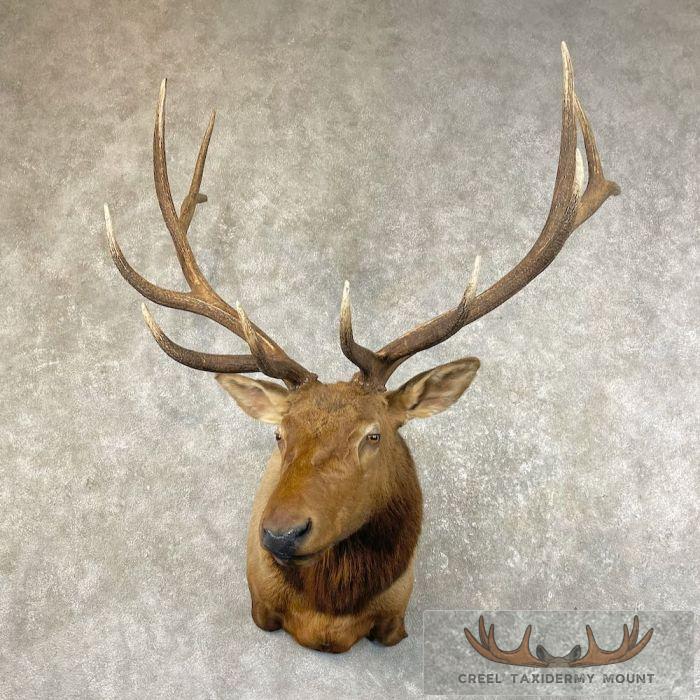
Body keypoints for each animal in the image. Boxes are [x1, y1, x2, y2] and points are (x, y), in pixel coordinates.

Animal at [104, 43, 620, 653]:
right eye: (279, 435)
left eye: (373, 435)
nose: (280, 533)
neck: (328, 619)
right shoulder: (260, 605)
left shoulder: (396, 618)